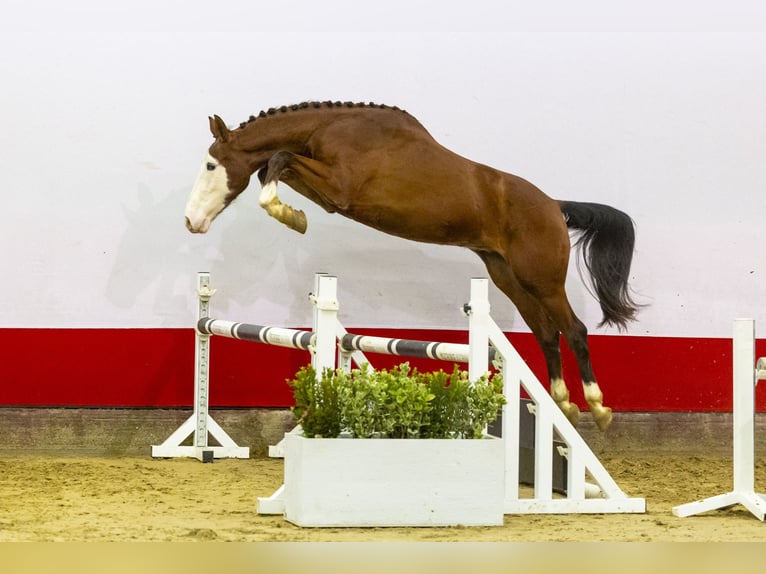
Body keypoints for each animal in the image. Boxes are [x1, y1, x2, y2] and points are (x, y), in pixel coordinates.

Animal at [183, 101, 640, 432]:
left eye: (210, 165)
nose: (190, 221)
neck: (330, 130)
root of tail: (554, 206)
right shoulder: (329, 193)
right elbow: (275, 166)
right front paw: (293, 214)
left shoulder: (340, 188)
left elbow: (277, 158)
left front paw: (288, 215)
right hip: (508, 277)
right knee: (547, 334)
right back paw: (564, 403)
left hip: (541, 279)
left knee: (574, 329)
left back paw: (597, 408)